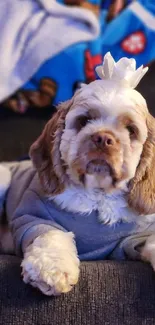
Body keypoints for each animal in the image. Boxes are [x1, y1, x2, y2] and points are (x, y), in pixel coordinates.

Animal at [0, 52, 155, 294]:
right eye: (84, 120)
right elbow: (51, 235)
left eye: (131, 130)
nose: (103, 138)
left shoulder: (137, 237)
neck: (98, 195)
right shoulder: (32, 218)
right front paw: (52, 269)